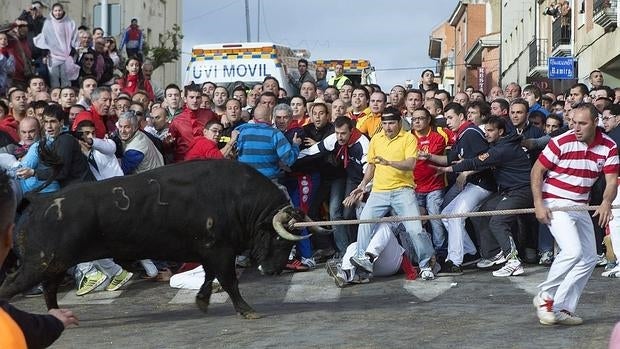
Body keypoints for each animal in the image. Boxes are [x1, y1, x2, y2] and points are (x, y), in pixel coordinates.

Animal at [0, 160, 330, 318]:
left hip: (52, 265)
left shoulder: (209, 252)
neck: (237, 199)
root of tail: (40, 200)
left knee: (48, 291)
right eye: (280, 240)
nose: (272, 271)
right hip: (41, 264)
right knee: (12, 285)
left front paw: (202, 301)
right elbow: (229, 281)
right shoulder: (219, 251)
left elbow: (209, 278)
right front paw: (247, 310)